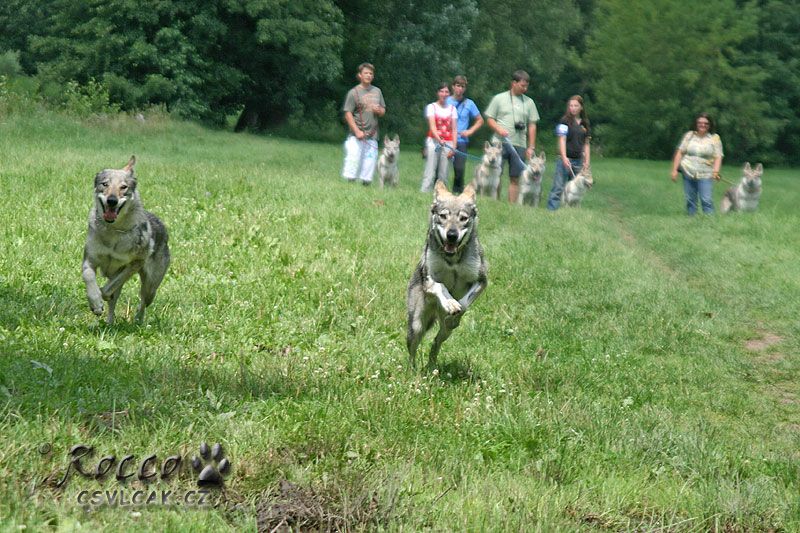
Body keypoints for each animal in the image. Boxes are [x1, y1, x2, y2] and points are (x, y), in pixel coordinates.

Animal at [82, 156, 170, 324]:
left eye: (123, 187)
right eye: (105, 184)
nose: (112, 200)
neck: (113, 231)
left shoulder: (134, 264)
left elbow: (107, 289)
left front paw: (100, 299)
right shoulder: (89, 260)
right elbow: (89, 277)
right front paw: (95, 303)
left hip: (150, 288)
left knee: (142, 302)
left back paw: (138, 321)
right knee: (114, 302)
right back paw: (109, 323)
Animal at [406, 181, 488, 368]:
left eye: (463, 218)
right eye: (443, 216)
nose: (452, 235)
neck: (452, 260)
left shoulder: (481, 281)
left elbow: (464, 303)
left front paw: (455, 310)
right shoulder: (429, 281)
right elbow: (441, 286)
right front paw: (450, 303)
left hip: (445, 332)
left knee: (436, 342)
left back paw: (431, 366)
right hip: (416, 325)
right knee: (413, 352)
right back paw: (412, 370)